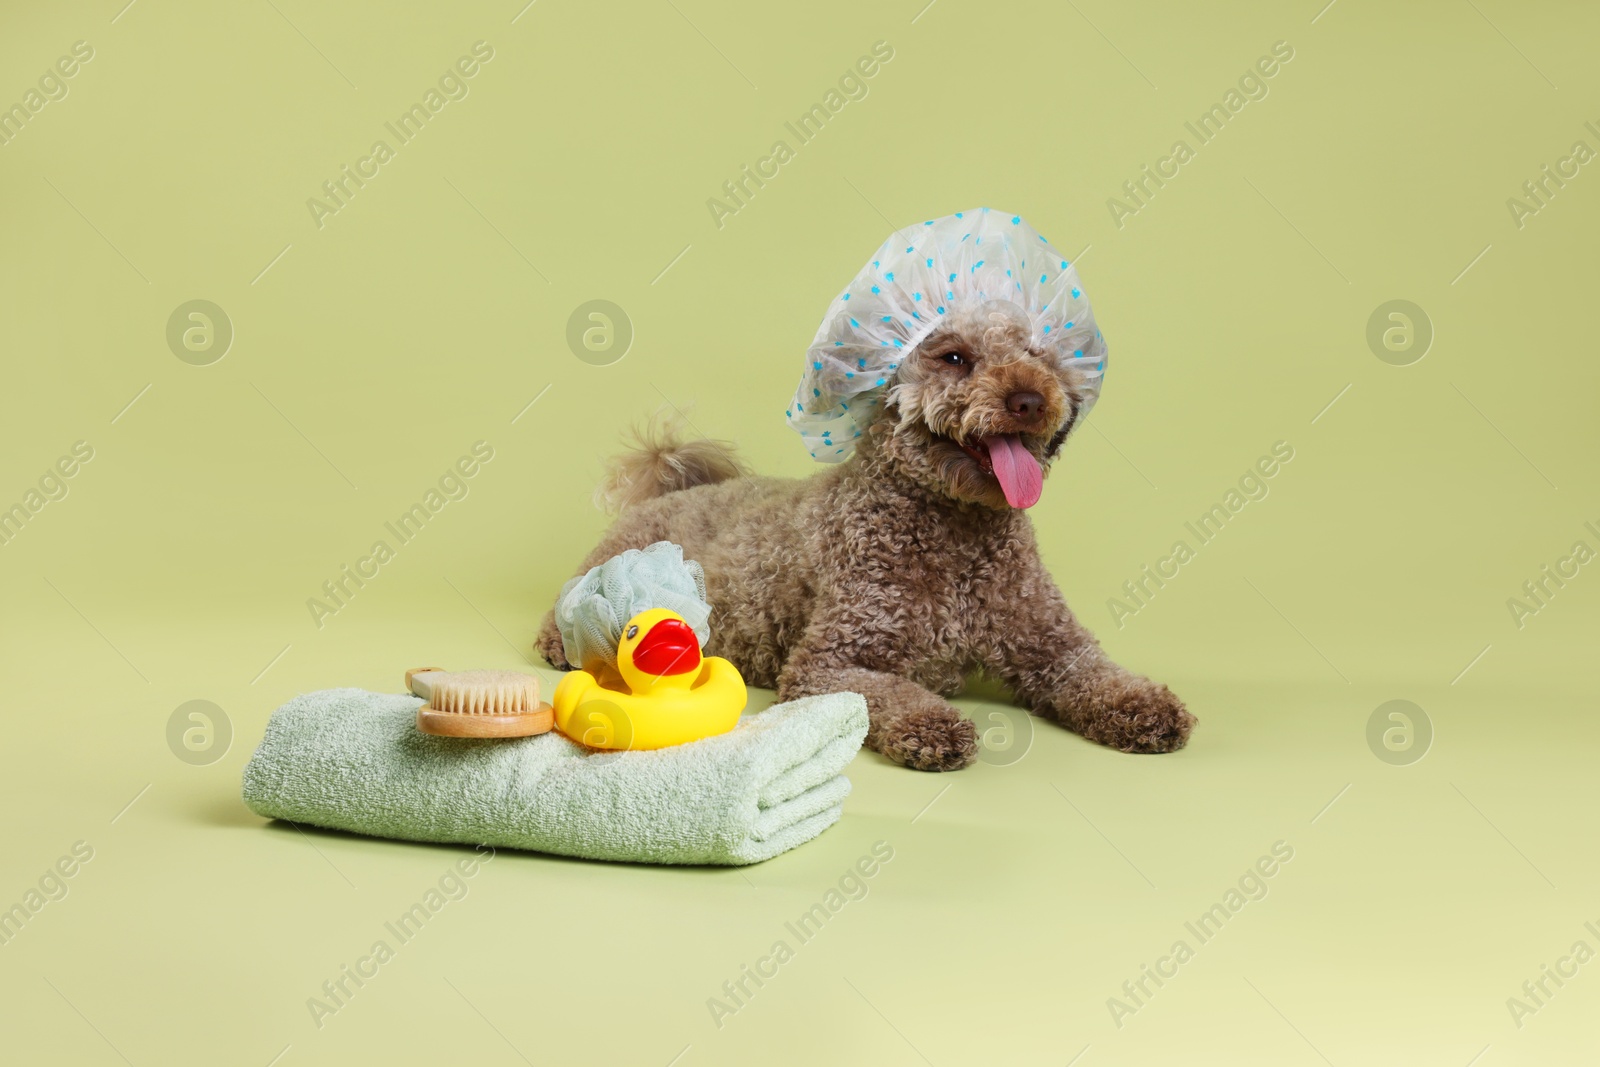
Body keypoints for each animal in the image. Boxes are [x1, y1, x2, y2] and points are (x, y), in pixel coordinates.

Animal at [540, 295, 1203, 771]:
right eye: (954, 357)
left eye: (1038, 354)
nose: (1029, 399)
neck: (956, 532)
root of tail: (670, 489)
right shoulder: (829, 663)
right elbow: (891, 694)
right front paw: (931, 726)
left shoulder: (1053, 643)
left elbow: (1098, 673)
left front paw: (1145, 705)